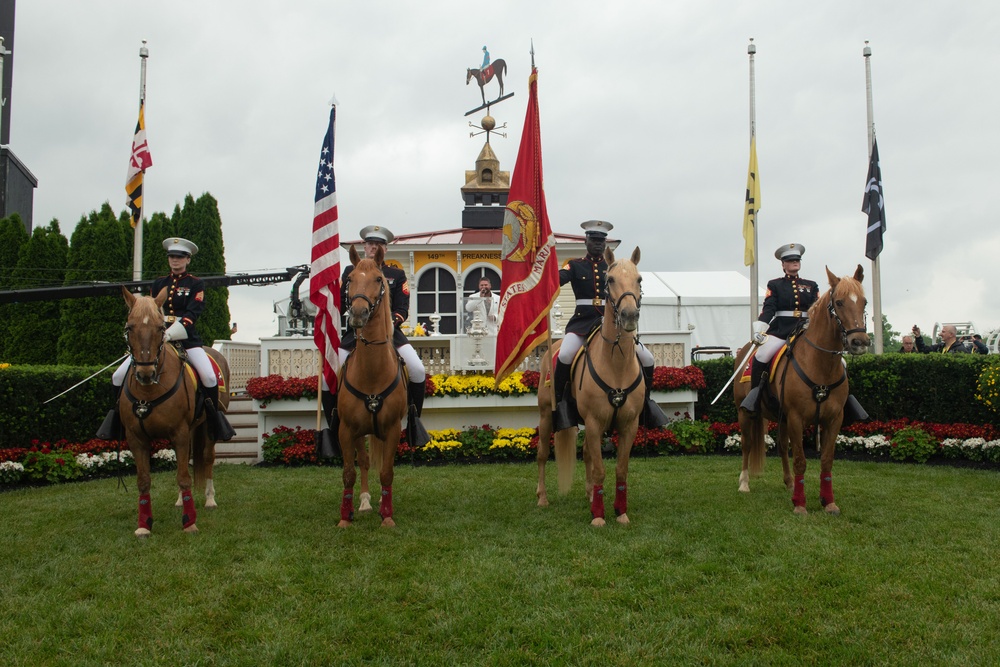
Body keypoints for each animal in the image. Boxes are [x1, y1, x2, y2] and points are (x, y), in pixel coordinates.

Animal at [119, 288, 230, 536]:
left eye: (161, 329)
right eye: (129, 327)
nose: (145, 373)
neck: (148, 392)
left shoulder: (179, 432)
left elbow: (184, 478)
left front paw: (189, 522)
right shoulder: (136, 438)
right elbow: (144, 480)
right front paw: (144, 525)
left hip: (208, 426)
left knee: (207, 458)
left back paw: (210, 499)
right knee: (186, 461)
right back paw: (180, 500)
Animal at [536, 245, 644, 528]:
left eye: (639, 279)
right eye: (611, 280)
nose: (629, 316)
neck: (616, 362)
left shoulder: (629, 425)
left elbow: (620, 469)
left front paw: (620, 511)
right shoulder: (595, 423)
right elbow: (600, 469)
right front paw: (598, 516)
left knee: (585, 453)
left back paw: (589, 495)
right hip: (546, 415)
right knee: (542, 454)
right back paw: (542, 497)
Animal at [736, 264, 868, 516]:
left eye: (864, 301)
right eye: (839, 302)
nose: (859, 342)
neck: (820, 364)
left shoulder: (834, 419)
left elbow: (826, 460)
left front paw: (829, 502)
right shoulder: (797, 418)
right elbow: (800, 460)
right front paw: (800, 504)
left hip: (782, 418)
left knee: (782, 447)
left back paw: (789, 482)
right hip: (745, 413)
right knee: (747, 445)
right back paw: (744, 483)